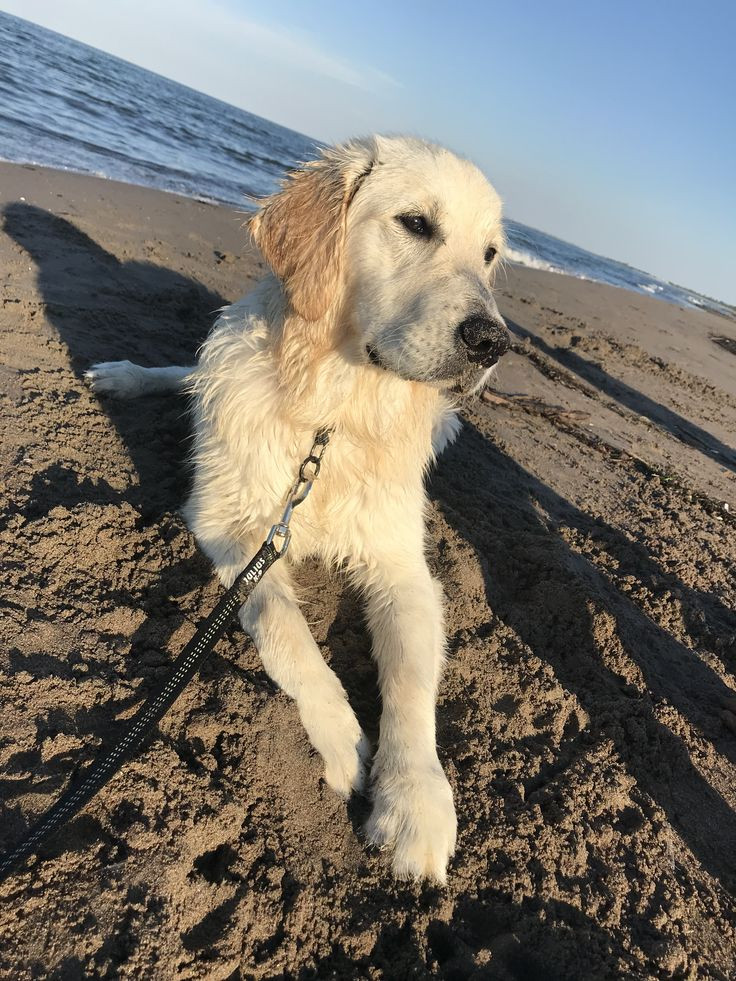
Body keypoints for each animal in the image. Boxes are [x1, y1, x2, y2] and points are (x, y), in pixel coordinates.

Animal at [85, 135, 510, 883]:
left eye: (489, 253)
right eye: (416, 223)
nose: (492, 341)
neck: (335, 414)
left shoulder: (402, 565)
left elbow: (411, 685)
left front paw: (416, 800)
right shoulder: (236, 524)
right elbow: (288, 635)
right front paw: (342, 740)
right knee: (188, 376)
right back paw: (125, 375)